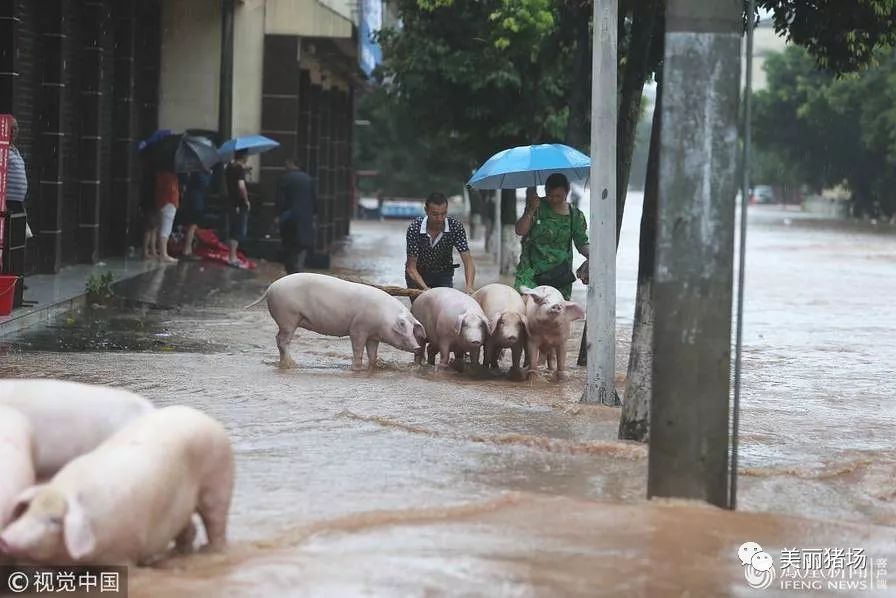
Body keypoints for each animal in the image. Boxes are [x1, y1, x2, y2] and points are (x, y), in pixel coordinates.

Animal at [0, 408, 234, 568]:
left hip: (219, 481)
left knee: (216, 524)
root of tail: (205, 417)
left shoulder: (122, 553)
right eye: (29, 510)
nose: (5, 538)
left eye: (55, 520)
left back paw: (213, 552)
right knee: (188, 530)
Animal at [245, 274, 428, 372]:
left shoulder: (373, 336)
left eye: (414, 330)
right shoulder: (358, 329)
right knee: (282, 341)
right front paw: (356, 368)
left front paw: (372, 367)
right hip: (288, 317)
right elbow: (358, 349)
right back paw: (291, 364)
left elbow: (373, 354)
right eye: (403, 328)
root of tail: (270, 288)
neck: (383, 318)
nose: (417, 346)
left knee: (278, 339)